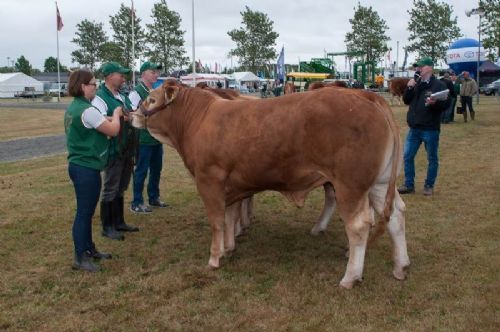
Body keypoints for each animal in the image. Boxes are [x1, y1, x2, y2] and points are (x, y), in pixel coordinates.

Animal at [133, 83, 410, 288]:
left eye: (151, 99)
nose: (131, 115)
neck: (199, 120)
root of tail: (367, 96)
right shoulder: (230, 186)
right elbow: (230, 217)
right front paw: (228, 248)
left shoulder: (208, 180)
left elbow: (217, 221)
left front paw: (213, 258)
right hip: (379, 183)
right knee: (396, 215)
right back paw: (401, 266)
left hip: (349, 185)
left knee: (359, 225)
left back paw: (350, 277)